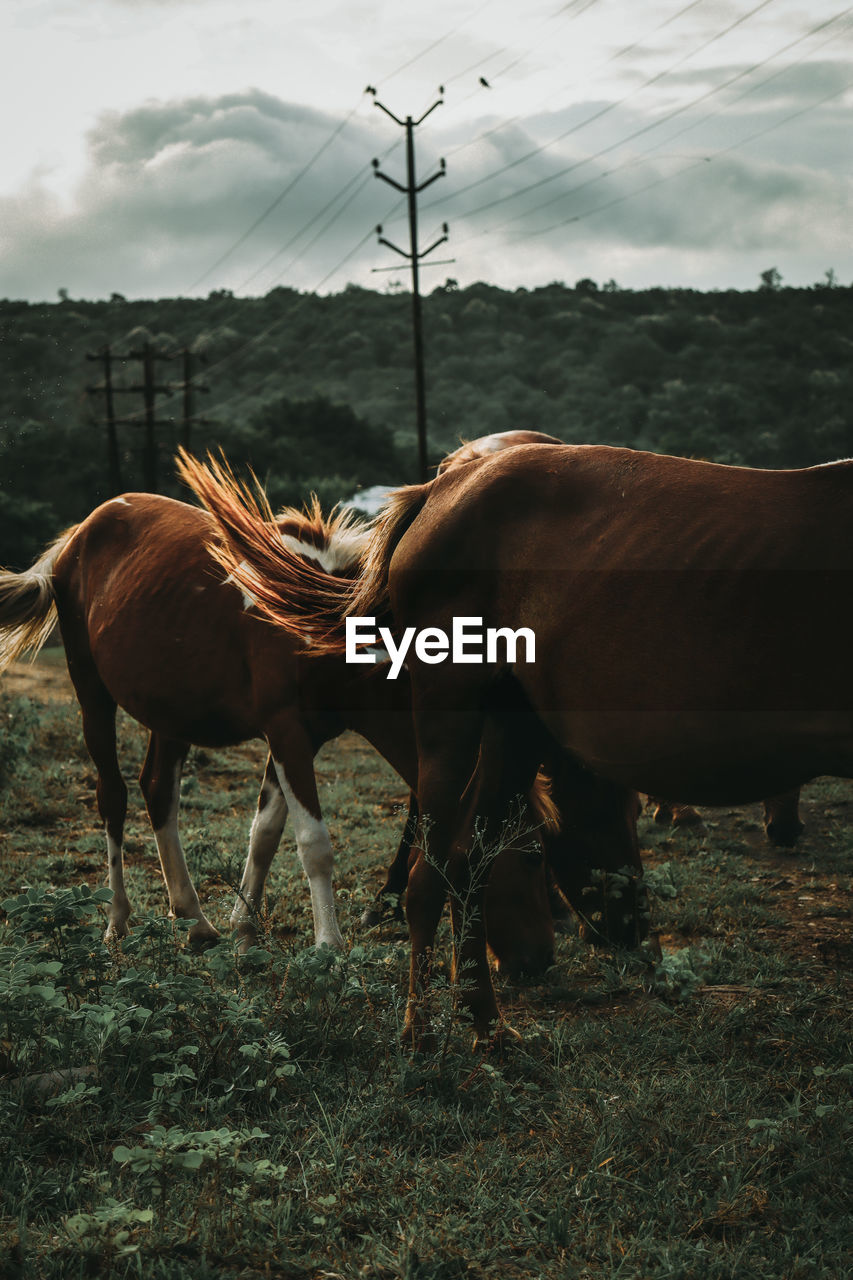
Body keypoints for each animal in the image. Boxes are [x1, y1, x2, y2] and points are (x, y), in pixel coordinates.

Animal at [195, 445, 850, 1044]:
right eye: (605, 817)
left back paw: (486, 1026)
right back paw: (421, 1035)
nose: (640, 936)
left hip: (512, 726)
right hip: (456, 714)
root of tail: (437, 491)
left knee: (464, 862)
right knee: (434, 874)